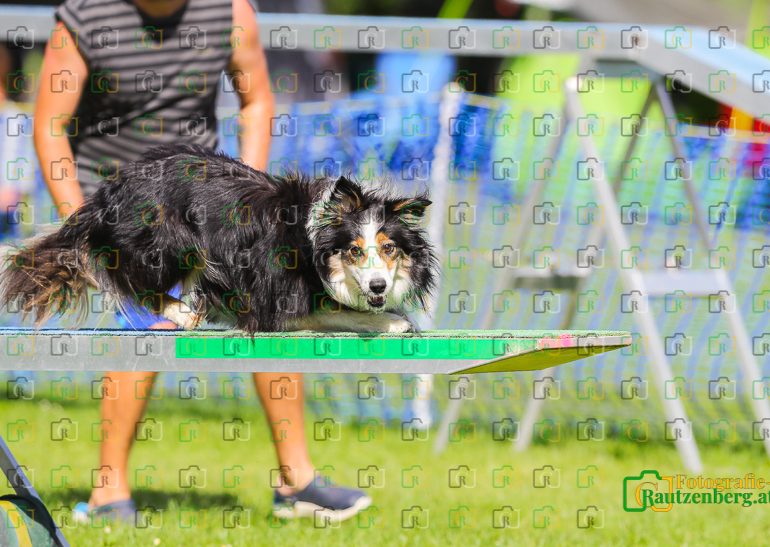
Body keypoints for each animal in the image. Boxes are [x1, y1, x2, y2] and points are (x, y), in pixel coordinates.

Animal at [0, 144, 439, 334]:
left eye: (389, 248)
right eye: (354, 251)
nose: (378, 286)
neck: (312, 239)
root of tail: (107, 193)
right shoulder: (278, 300)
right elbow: (336, 313)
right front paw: (393, 322)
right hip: (171, 242)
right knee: (132, 284)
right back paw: (182, 313)